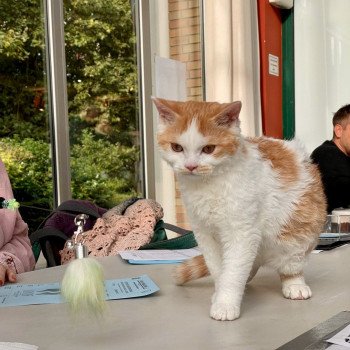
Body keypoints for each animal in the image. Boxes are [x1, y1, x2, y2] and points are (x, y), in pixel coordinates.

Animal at [152, 97, 326, 322]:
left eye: (209, 149)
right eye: (176, 147)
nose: (190, 166)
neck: (208, 186)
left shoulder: (242, 233)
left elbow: (233, 271)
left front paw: (225, 303)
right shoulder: (205, 234)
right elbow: (219, 269)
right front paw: (220, 294)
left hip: (297, 235)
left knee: (290, 265)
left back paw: (294, 284)